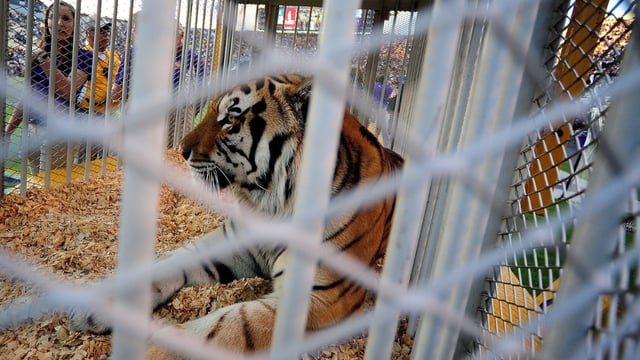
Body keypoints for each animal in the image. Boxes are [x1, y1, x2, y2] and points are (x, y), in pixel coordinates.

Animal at [69, 72, 400, 354]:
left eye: (229, 121)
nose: (181, 150)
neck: (271, 205)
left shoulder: (321, 296)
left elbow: (232, 326)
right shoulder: (229, 245)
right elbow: (167, 263)